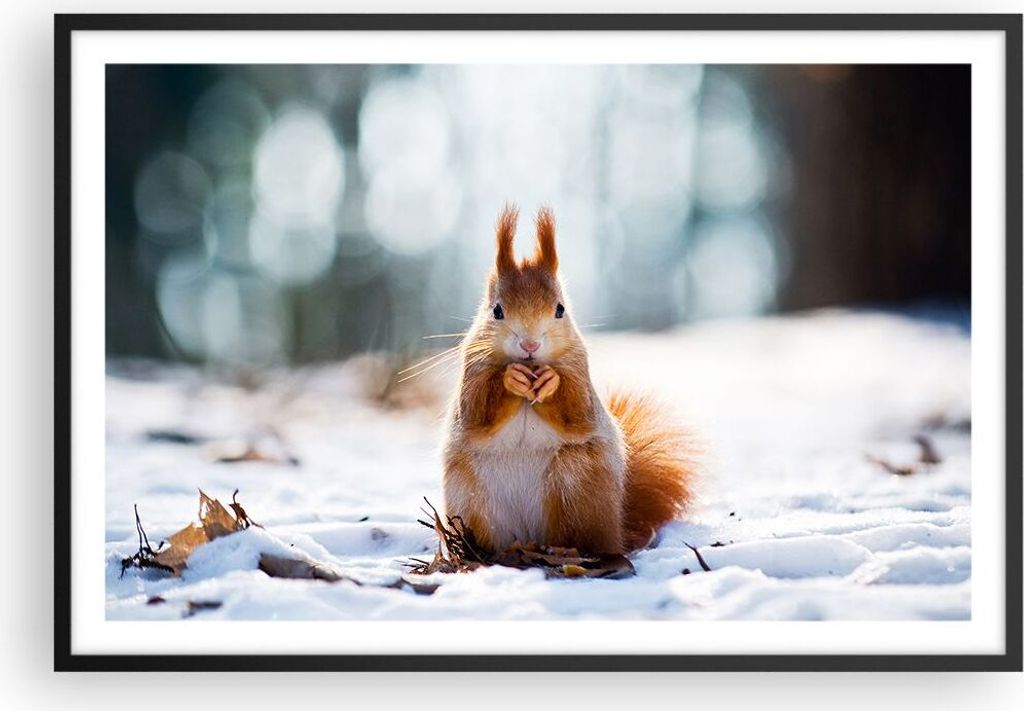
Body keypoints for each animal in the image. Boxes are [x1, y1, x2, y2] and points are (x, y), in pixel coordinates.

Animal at [441, 206, 697, 555]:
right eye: (497, 311)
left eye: (560, 309)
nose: (530, 345)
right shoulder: (472, 372)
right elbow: (476, 413)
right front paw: (511, 378)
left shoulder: (579, 372)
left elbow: (577, 412)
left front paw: (551, 382)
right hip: (469, 496)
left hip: (576, 482)